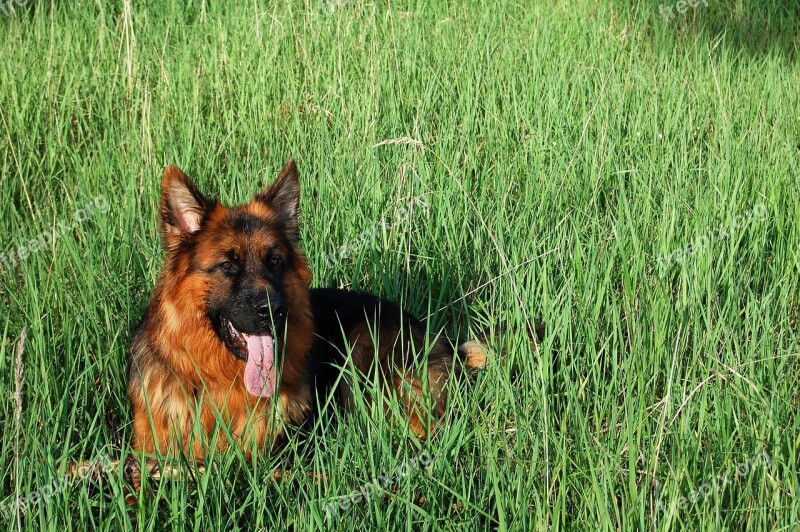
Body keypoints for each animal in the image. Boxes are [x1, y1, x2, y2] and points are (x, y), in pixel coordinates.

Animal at [128, 161, 484, 462]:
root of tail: (444, 343)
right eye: (228, 265)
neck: (220, 380)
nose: (274, 310)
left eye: (274, 261)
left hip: (362, 347)